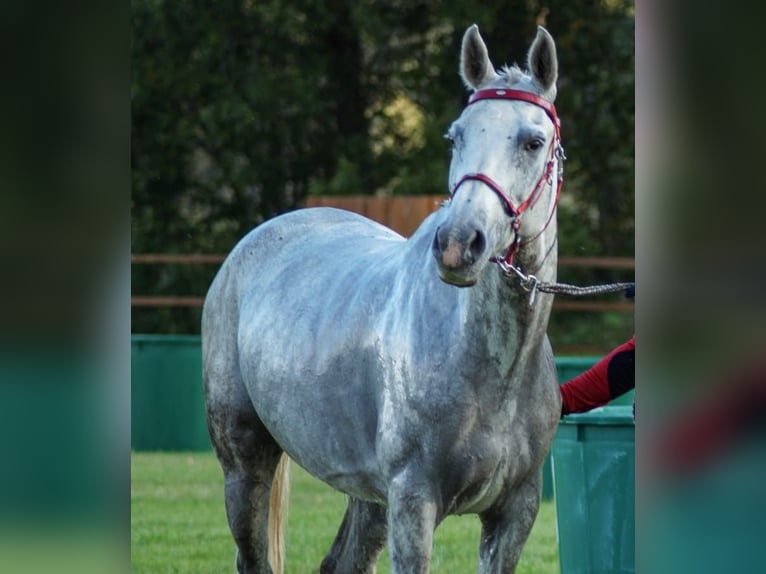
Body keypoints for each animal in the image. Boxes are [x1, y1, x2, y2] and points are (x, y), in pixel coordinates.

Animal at [203, 24, 564, 574]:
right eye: (456, 136)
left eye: (533, 141)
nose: (458, 243)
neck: (492, 369)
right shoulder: (413, 503)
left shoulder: (514, 513)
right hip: (244, 466)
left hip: (368, 497)